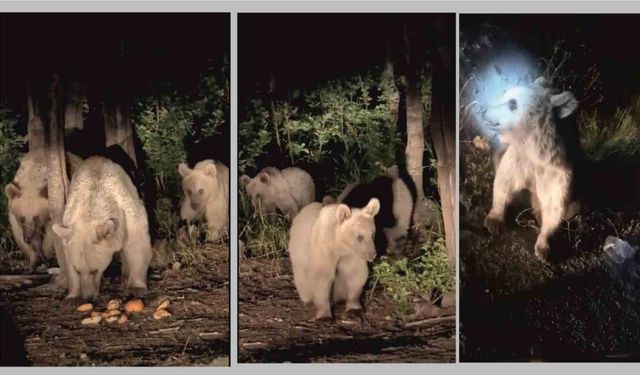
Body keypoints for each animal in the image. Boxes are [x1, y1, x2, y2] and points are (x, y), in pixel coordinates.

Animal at [52, 156, 152, 302]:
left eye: (94, 270)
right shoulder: (70, 217)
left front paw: (136, 288)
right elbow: (68, 255)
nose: (88, 297)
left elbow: (137, 243)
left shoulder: (127, 209)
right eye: (78, 270)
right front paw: (72, 295)